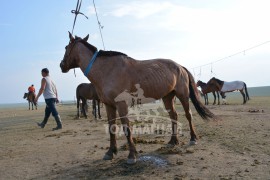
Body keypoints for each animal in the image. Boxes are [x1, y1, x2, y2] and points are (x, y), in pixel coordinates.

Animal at [59, 31, 215, 164]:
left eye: (66, 47)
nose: (61, 65)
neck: (107, 70)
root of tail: (180, 67)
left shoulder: (122, 105)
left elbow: (126, 128)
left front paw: (132, 155)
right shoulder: (109, 105)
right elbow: (111, 128)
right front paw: (110, 152)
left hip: (183, 95)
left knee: (188, 115)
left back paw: (193, 138)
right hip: (167, 97)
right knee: (174, 116)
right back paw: (173, 141)